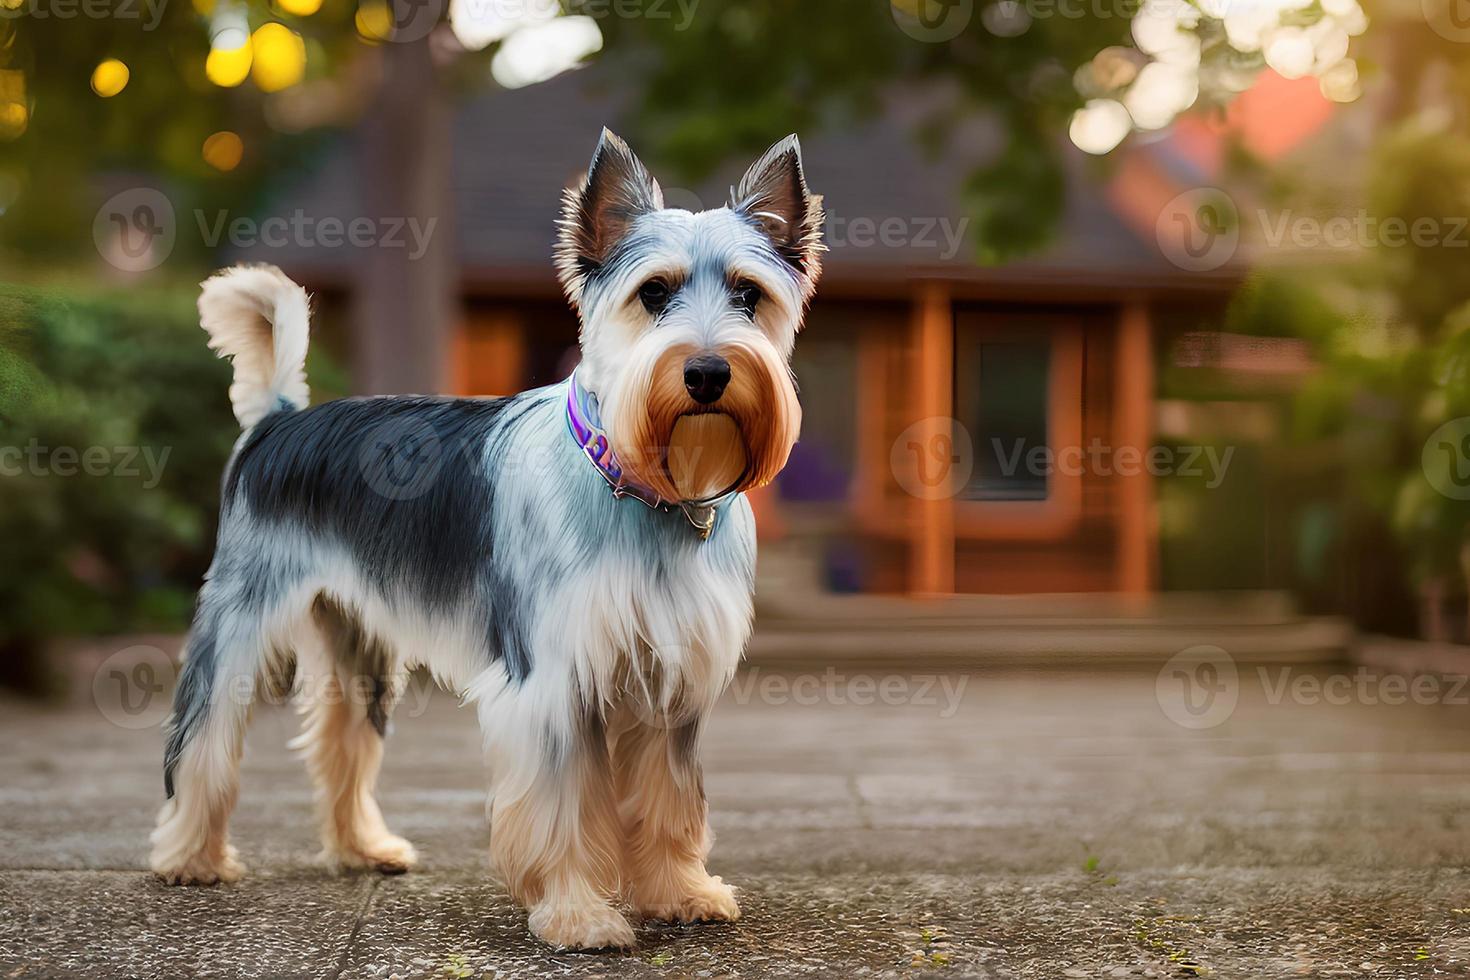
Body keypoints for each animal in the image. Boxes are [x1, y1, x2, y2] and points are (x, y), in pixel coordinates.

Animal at [150, 128, 829, 952]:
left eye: (748, 295)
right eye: (654, 294)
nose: (706, 371)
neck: (639, 486)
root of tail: (279, 421)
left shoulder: (669, 681)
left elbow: (669, 798)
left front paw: (679, 892)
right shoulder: (552, 678)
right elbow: (563, 805)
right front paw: (576, 913)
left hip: (357, 640)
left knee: (343, 741)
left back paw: (361, 849)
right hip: (241, 619)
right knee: (203, 736)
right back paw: (190, 857)